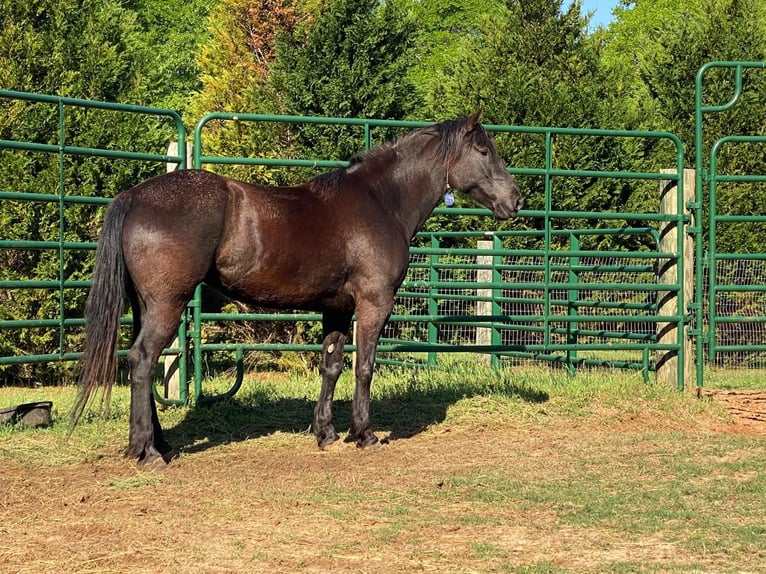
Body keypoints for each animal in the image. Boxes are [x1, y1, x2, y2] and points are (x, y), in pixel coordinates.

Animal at [70, 110, 523, 466]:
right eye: (485, 151)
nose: (515, 200)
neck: (380, 201)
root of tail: (133, 196)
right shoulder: (374, 303)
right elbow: (364, 367)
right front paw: (365, 435)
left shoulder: (337, 307)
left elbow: (331, 365)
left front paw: (326, 434)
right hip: (167, 305)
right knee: (142, 360)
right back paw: (147, 452)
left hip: (145, 306)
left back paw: (158, 444)